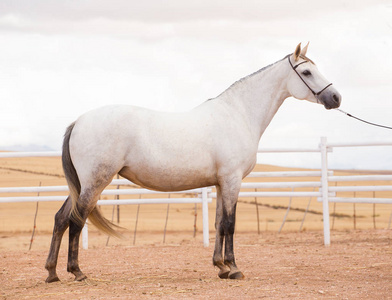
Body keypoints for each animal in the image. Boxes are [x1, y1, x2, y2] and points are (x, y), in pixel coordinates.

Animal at [45, 42, 340, 282]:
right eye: (307, 72)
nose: (336, 98)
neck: (238, 114)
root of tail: (79, 121)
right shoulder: (232, 180)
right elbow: (230, 224)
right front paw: (234, 268)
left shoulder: (221, 183)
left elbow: (219, 223)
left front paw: (221, 267)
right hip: (95, 182)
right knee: (76, 220)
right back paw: (76, 272)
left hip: (82, 185)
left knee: (61, 218)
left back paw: (52, 273)